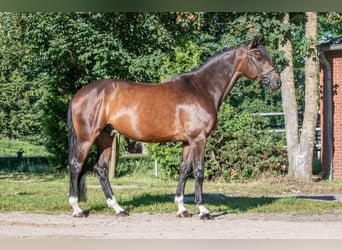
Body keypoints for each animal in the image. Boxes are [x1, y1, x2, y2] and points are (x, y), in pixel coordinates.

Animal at [68, 36, 282, 220]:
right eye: (258, 56)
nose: (277, 82)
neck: (202, 88)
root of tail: (79, 94)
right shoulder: (199, 139)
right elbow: (198, 171)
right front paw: (203, 211)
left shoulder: (188, 141)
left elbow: (184, 170)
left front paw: (182, 209)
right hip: (88, 138)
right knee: (76, 165)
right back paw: (77, 209)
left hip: (106, 137)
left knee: (101, 169)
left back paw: (118, 209)